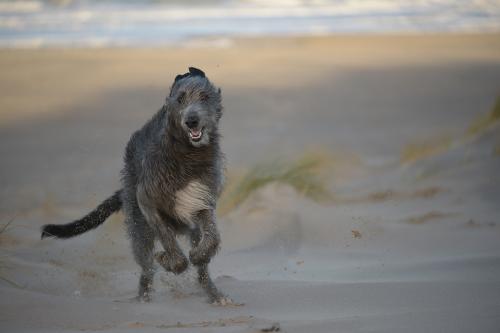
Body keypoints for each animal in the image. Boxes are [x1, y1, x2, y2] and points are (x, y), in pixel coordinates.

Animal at [42, 67, 231, 304]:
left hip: (188, 227)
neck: (187, 153)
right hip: (139, 225)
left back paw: (215, 295)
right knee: (146, 267)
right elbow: (168, 241)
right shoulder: (147, 200)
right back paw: (144, 298)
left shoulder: (201, 198)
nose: (192, 121)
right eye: (180, 99)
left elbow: (212, 238)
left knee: (200, 262)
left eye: (205, 97)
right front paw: (168, 260)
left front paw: (198, 255)